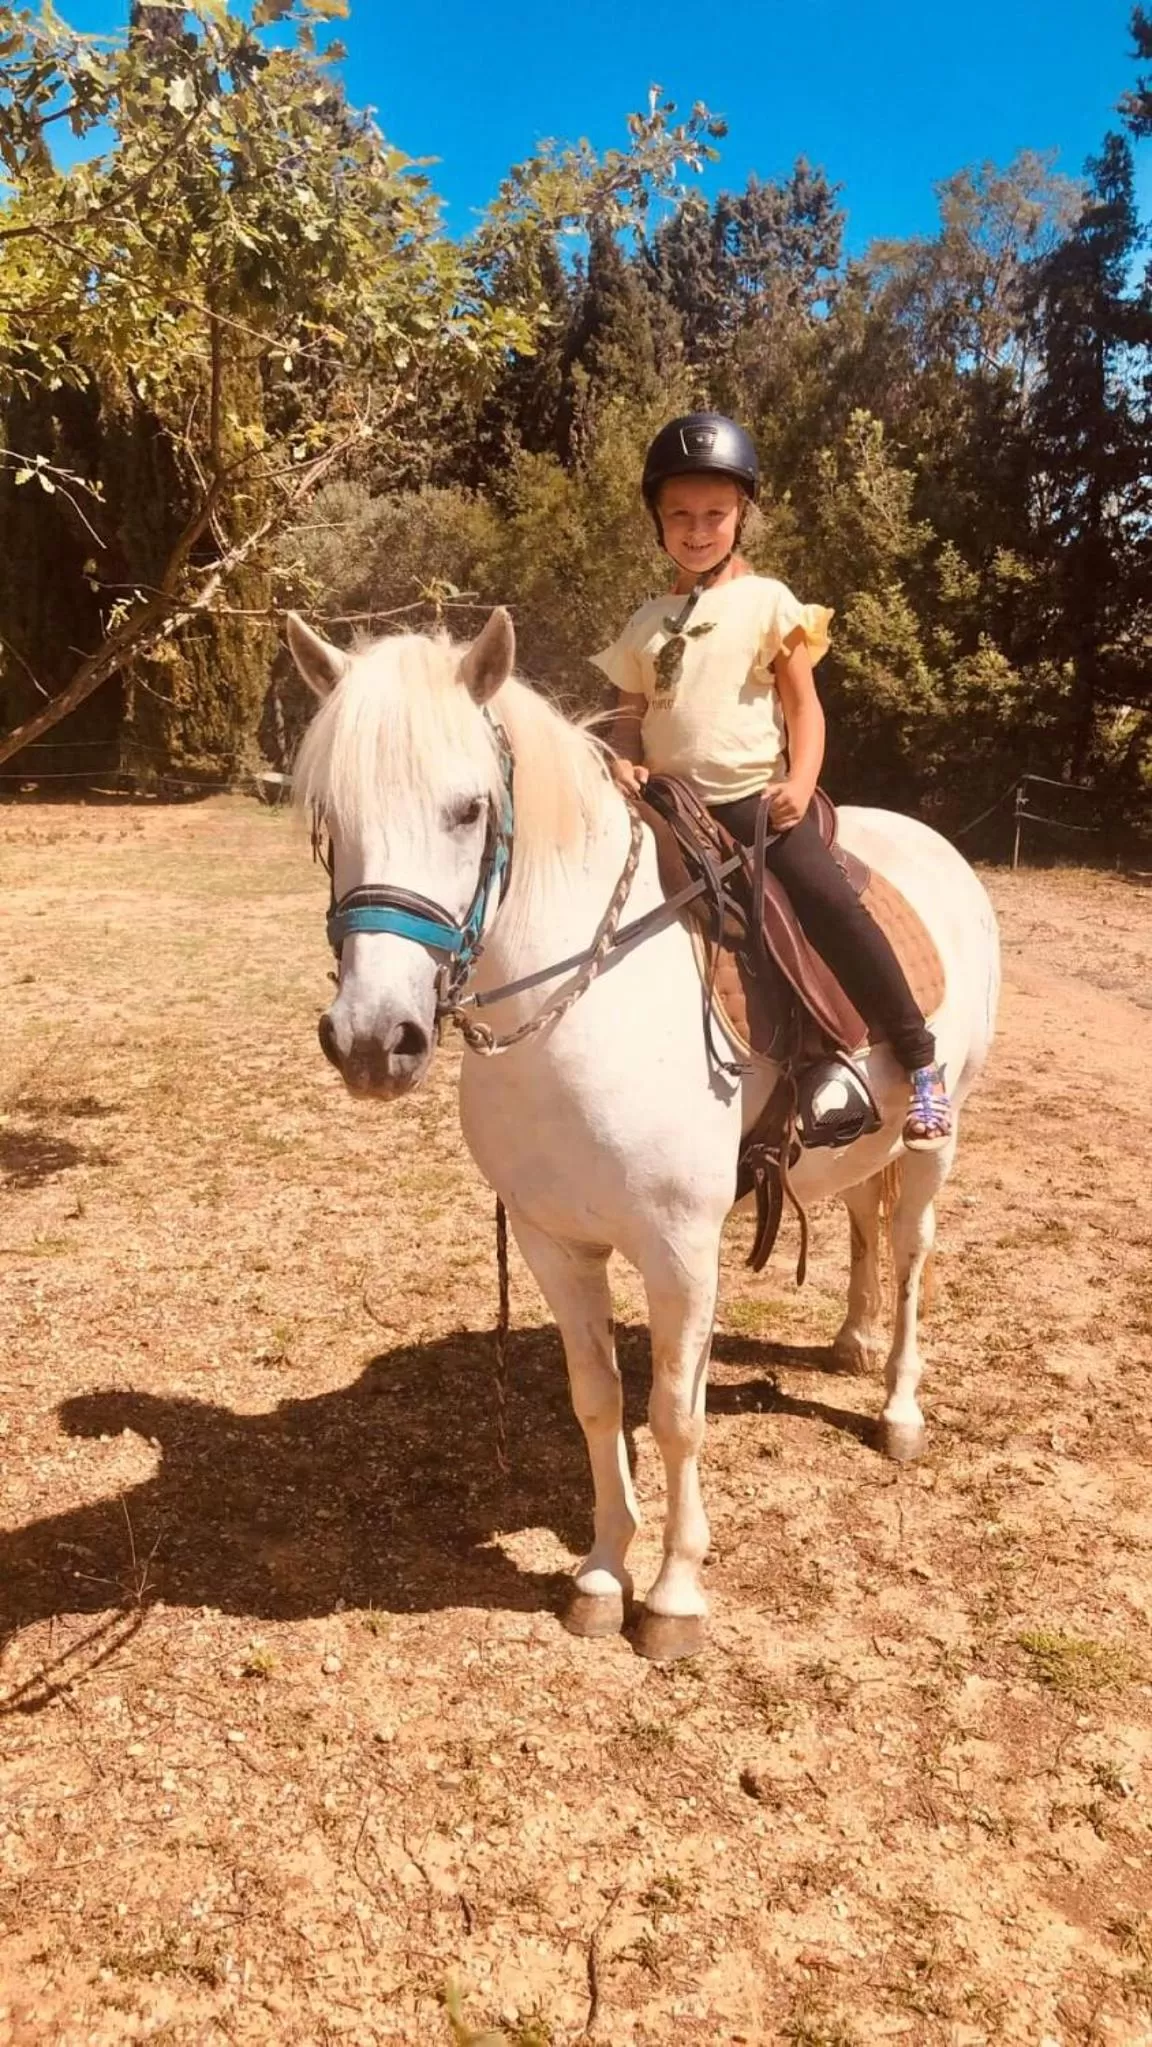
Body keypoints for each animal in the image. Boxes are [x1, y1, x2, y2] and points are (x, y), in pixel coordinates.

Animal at [288, 606, 1001, 1662]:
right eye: (328, 819)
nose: (374, 1040)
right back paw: (850, 1340)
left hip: (932, 1142)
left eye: (468, 810)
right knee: (863, 1224)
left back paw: (899, 1405)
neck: (581, 1000)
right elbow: (597, 1399)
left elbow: (674, 1415)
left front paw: (672, 1594)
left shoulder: (680, 1249)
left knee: (912, 1253)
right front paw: (599, 1572)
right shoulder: (553, 1243)